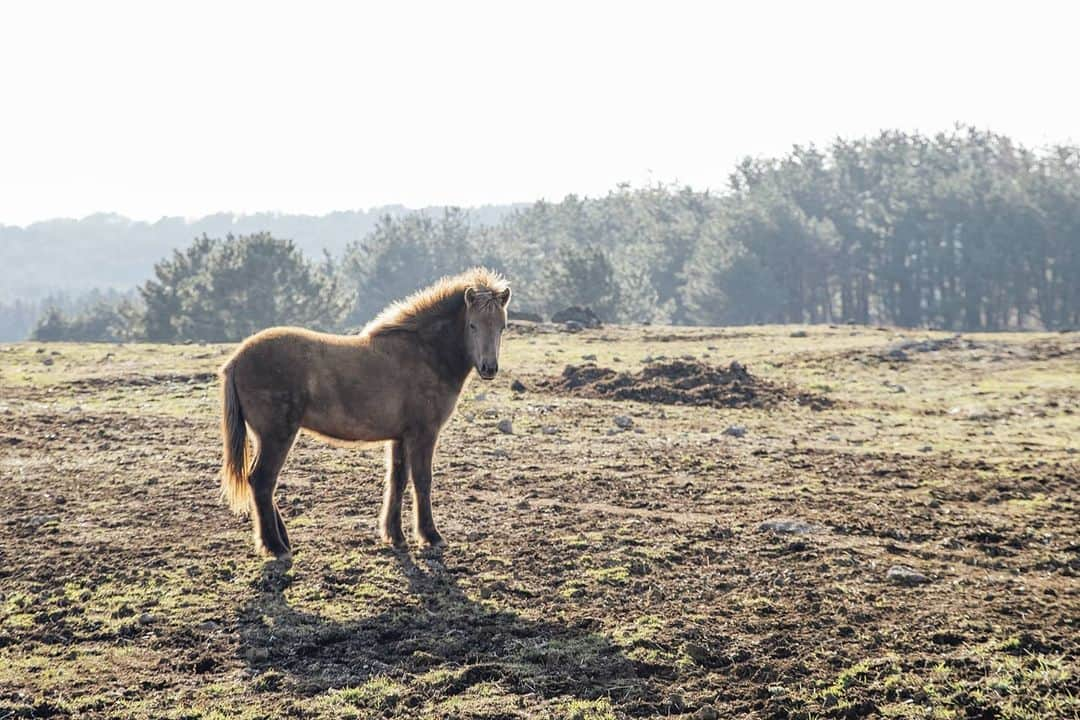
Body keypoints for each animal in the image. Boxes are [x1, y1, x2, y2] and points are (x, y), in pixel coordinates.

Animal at [217, 266, 511, 557]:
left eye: (501, 326)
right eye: (472, 325)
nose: (489, 368)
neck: (424, 353)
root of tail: (236, 360)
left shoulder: (401, 437)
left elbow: (398, 480)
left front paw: (395, 536)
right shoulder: (424, 434)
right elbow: (422, 481)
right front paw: (431, 536)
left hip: (266, 437)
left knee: (260, 482)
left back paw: (282, 541)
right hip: (277, 436)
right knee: (262, 480)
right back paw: (276, 547)